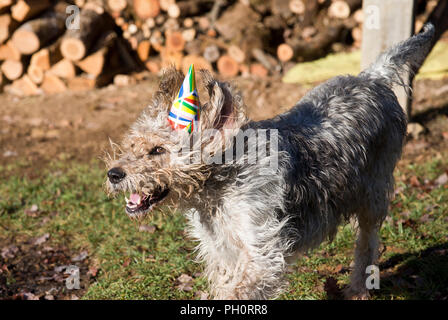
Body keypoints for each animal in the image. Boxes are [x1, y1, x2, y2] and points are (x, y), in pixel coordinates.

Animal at [105, 25, 434, 300]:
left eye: (158, 150)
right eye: (132, 144)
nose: (113, 174)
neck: (219, 188)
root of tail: (371, 77)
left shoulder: (264, 251)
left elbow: (239, 290)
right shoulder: (223, 252)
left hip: (373, 193)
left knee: (367, 243)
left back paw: (358, 290)